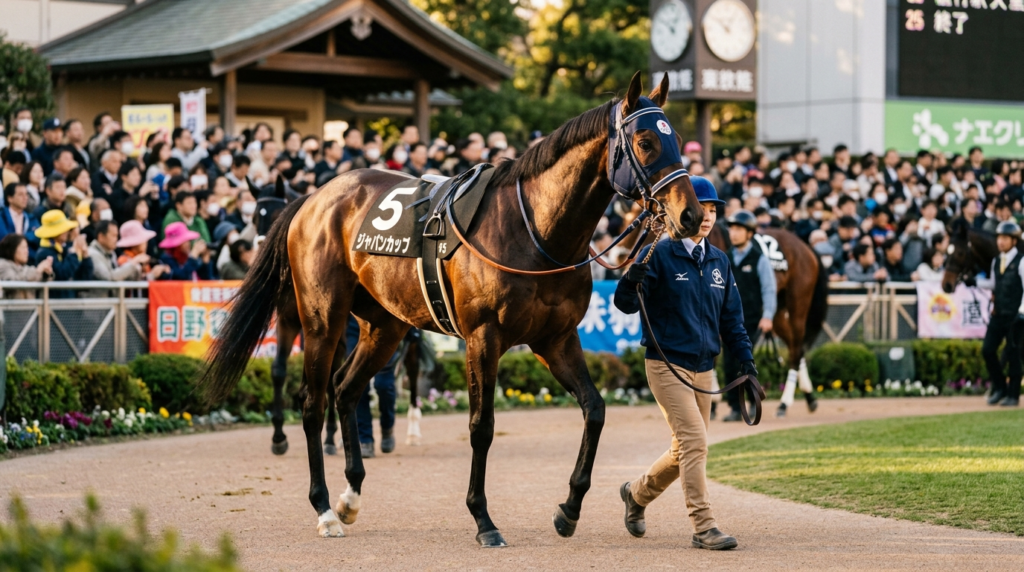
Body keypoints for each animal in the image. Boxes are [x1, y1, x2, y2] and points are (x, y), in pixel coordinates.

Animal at [247, 177, 428, 456]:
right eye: (255, 216)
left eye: (277, 214)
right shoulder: (289, 321)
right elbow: (279, 371)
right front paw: (278, 437)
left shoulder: (338, 331)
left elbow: (332, 378)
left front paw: (331, 438)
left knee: (411, 371)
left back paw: (411, 430)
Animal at [708, 224, 828, 416]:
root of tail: (805, 246)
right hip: (777, 312)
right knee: (795, 347)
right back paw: (810, 398)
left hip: (798, 305)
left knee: (796, 350)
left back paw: (784, 403)